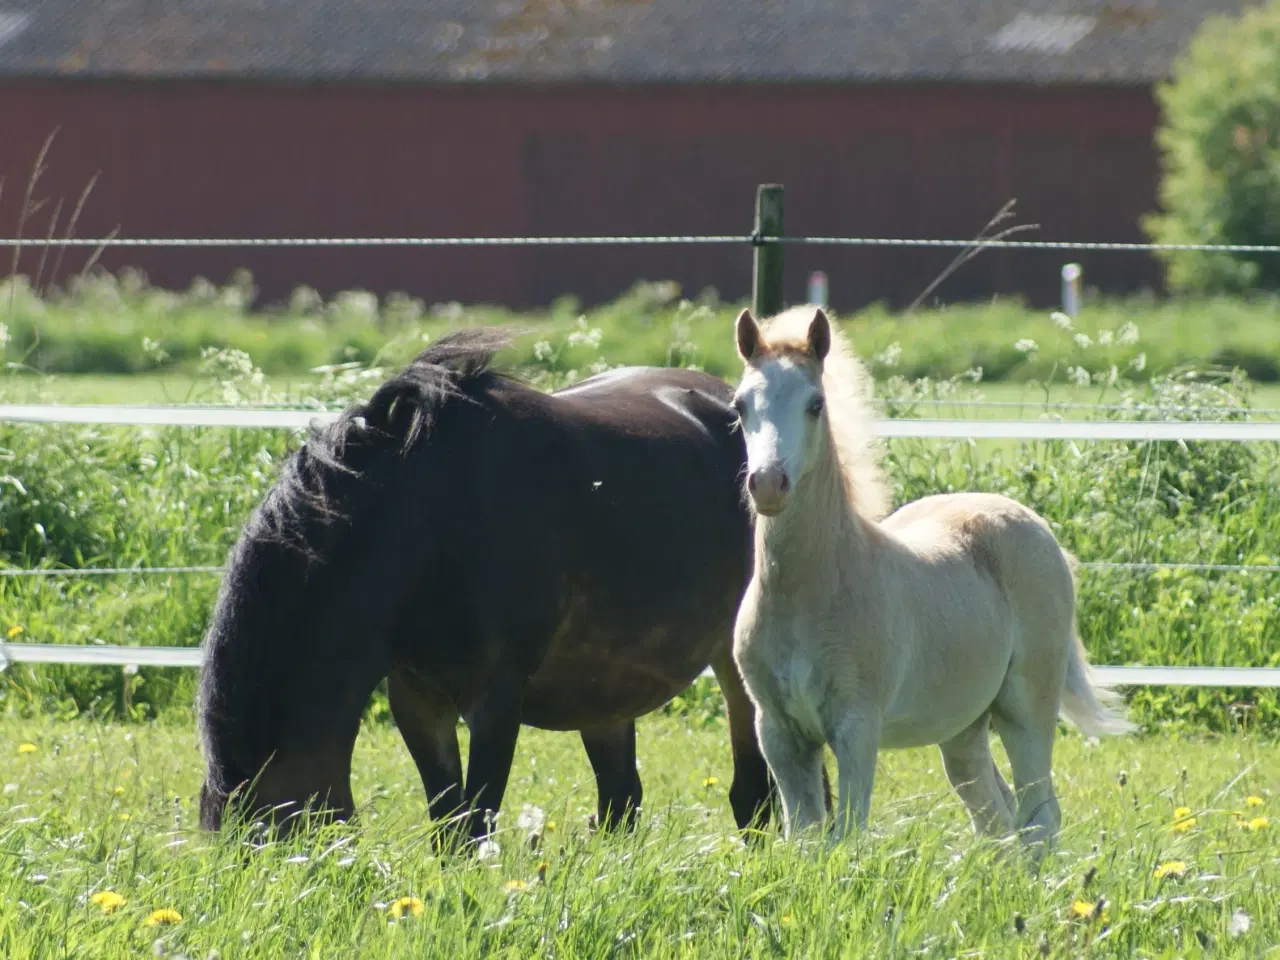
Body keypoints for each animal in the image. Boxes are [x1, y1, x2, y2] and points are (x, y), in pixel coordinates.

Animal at [195, 330, 773, 839]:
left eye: (267, 842)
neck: (427, 524)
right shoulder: (417, 700)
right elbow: (448, 823)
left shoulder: (496, 701)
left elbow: (475, 823)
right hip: (604, 688)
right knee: (620, 800)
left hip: (733, 663)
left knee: (752, 795)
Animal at [732, 304, 1131, 855]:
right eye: (740, 405)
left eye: (816, 404)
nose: (769, 484)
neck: (814, 591)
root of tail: (1034, 525)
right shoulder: (779, 732)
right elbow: (807, 839)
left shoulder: (857, 726)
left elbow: (848, 835)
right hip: (963, 725)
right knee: (994, 813)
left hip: (1026, 707)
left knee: (1039, 819)